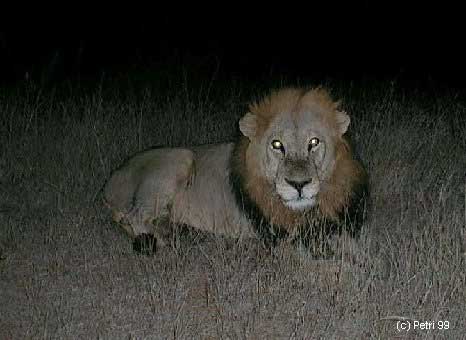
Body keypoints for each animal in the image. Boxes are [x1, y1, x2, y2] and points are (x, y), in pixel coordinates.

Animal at [104, 87, 370, 255]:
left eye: (313, 142)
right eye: (277, 145)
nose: (299, 184)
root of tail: (111, 180)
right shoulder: (280, 234)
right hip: (180, 157)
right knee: (135, 216)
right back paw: (167, 238)